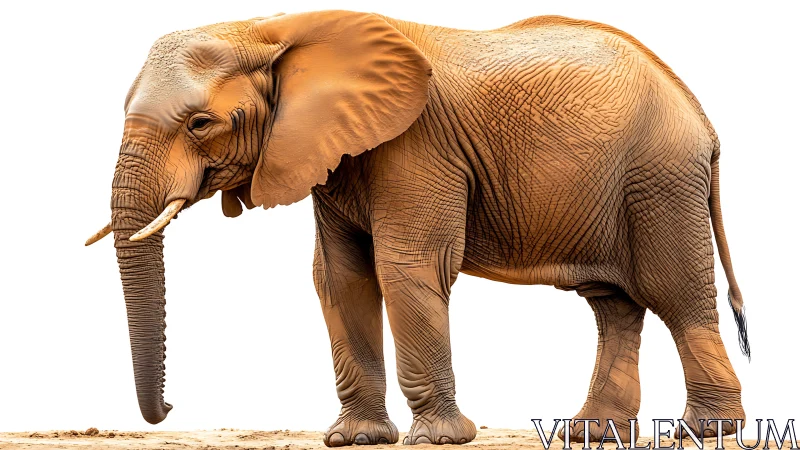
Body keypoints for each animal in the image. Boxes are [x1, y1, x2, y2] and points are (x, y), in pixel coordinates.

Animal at [86, 10, 749, 447]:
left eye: (200, 124)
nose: (170, 406)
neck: (272, 28)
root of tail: (703, 117)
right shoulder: (334, 156)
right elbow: (339, 277)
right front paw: (356, 439)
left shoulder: (417, 144)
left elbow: (405, 266)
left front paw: (438, 439)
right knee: (613, 305)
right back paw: (589, 432)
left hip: (659, 180)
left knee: (675, 295)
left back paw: (704, 431)